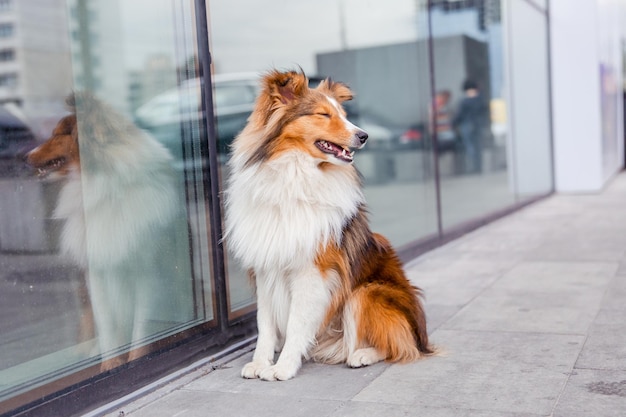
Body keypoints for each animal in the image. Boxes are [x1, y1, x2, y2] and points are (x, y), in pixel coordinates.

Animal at [26, 93, 194, 368]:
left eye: (57, 134)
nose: (24, 156)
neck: (108, 189)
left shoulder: (148, 272)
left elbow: (141, 328)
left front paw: (135, 361)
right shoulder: (96, 271)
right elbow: (107, 328)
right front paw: (110, 366)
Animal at [224, 69, 434, 380]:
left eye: (344, 115)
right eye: (323, 114)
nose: (364, 135)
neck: (294, 175)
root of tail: (423, 336)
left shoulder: (312, 271)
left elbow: (297, 321)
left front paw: (284, 366)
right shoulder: (266, 266)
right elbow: (265, 323)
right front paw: (261, 362)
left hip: (367, 292)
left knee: (398, 344)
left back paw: (362, 354)